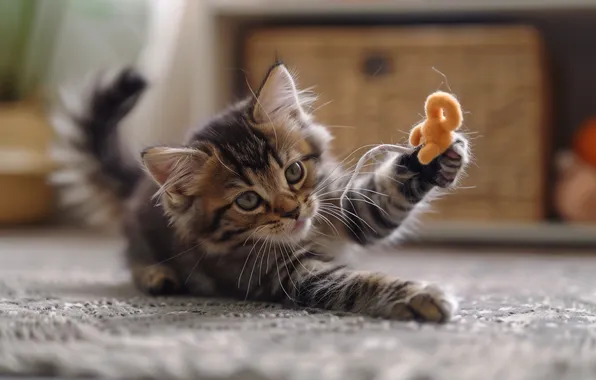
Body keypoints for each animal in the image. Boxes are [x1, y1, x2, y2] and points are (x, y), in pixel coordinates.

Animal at [51, 63, 468, 324]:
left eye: (294, 172)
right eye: (248, 201)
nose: (293, 211)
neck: (310, 234)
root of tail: (140, 186)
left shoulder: (349, 208)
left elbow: (388, 196)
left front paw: (433, 159)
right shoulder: (287, 274)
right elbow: (355, 282)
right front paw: (418, 296)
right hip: (141, 238)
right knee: (131, 257)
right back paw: (156, 275)